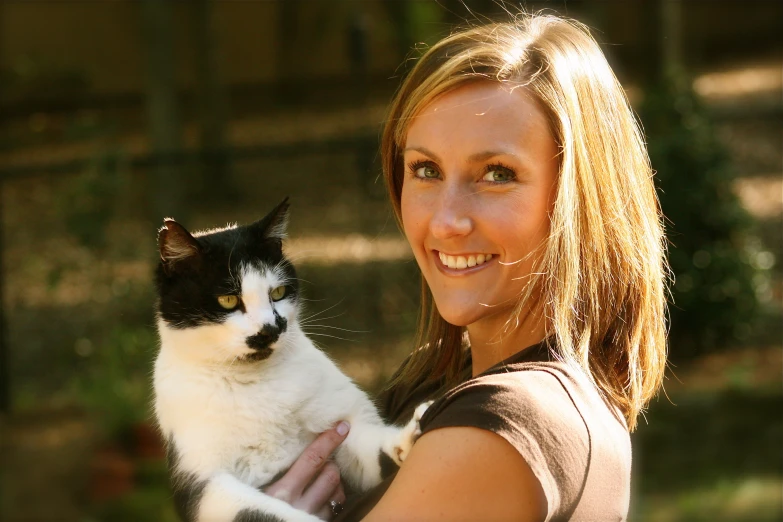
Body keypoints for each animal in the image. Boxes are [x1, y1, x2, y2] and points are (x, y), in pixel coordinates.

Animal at [151, 197, 426, 516]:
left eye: (278, 292)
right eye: (228, 300)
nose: (270, 328)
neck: (255, 383)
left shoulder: (346, 428)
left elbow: (374, 451)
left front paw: (410, 434)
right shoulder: (205, 487)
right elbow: (267, 513)